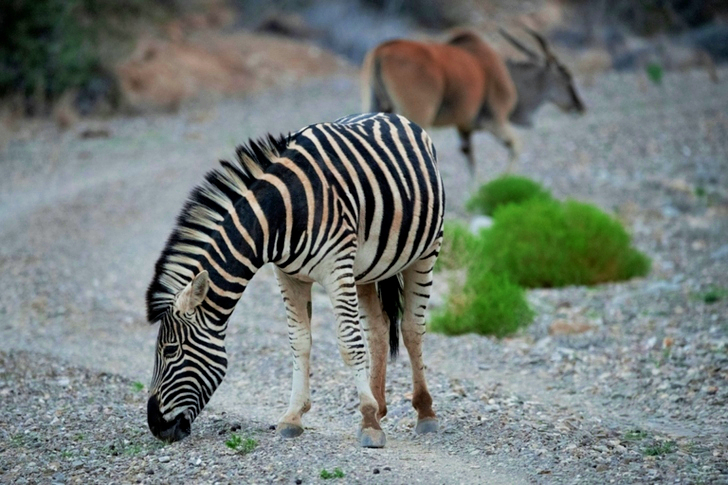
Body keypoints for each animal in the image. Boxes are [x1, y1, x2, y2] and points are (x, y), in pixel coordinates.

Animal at [145, 112, 445, 448]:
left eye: (170, 351)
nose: (155, 426)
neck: (282, 213)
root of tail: (392, 115)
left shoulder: (336, 267)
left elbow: (349, 343)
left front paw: (367, 422)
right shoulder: (288, 275)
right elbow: (299, 341)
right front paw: (293, 417)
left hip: (426, 252)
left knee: (412, 329)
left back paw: (424, 413)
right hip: (366, 269)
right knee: (379, 330)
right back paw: (380, 406)